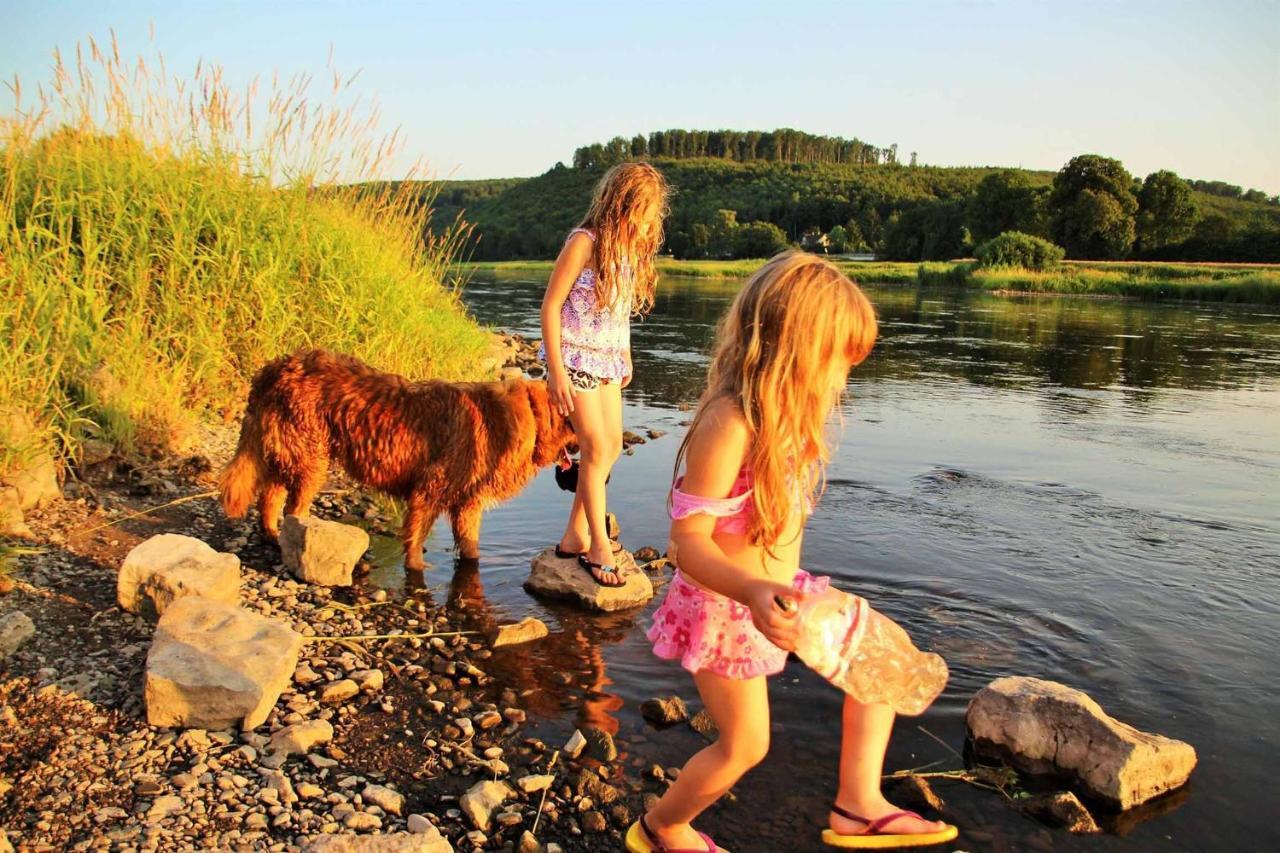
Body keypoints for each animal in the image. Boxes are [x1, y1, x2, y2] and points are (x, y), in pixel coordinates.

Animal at [221, 348, 576, 568]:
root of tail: (276, 367)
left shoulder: (468, 504)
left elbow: (470, 545)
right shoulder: (429, 492)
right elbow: (416, 537)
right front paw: (418, 566)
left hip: (291, 450)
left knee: (270, 494)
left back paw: (272, 534)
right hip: (311, 458)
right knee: (292, 505)